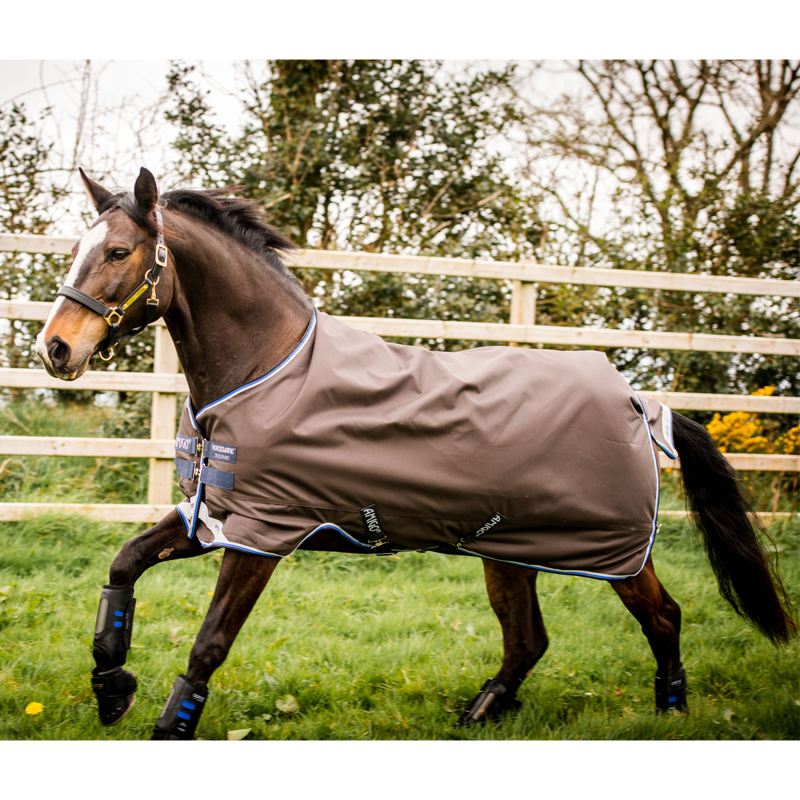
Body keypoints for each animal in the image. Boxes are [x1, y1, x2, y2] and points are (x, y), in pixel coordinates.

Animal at [34, 167, 796, 739]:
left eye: (119, 253)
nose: (56, 350)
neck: (265, 368)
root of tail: (643, 403)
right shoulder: (213, 517)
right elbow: (124, 563)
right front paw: (111, 685)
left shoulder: (262, 536)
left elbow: (210, 641)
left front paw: (167, 724)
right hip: (510, 549)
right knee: (528, 640)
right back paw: (480, 712)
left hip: (611, 550)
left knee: (661, 617)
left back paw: (670, 712)